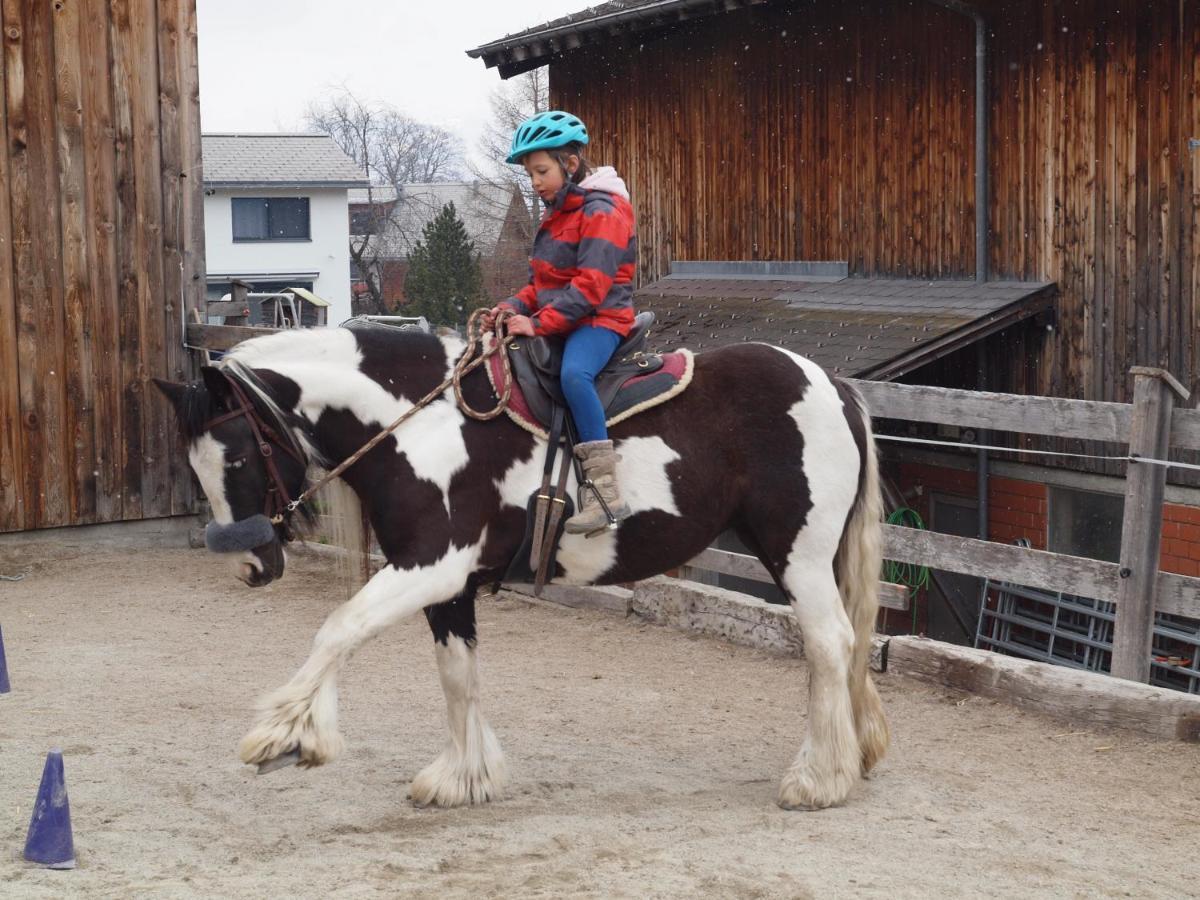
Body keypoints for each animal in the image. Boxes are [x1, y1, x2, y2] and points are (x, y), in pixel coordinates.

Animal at [154, 321, 888, 811]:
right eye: (194, 463)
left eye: (238, 456)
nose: (247, 562)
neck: (421, 425)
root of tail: (831, 386)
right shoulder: (446, 587)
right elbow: (457, 673)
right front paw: (464, 778)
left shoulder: (430, 566)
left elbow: (338, 629)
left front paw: (285, 737)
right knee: (837, 651)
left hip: (798, 555)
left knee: (830, 645)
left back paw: (817, 780)